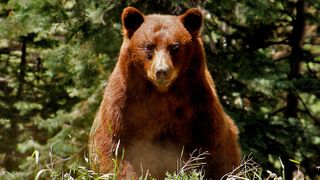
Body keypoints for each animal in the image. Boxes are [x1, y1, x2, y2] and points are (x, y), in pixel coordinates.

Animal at [89, 6, 241, 179]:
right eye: (149, 46)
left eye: (175, 47)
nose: (161, 71)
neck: (161, 94)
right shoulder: (123, 105)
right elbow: (112, 147)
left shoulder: (198, 106)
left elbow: (217, 151)